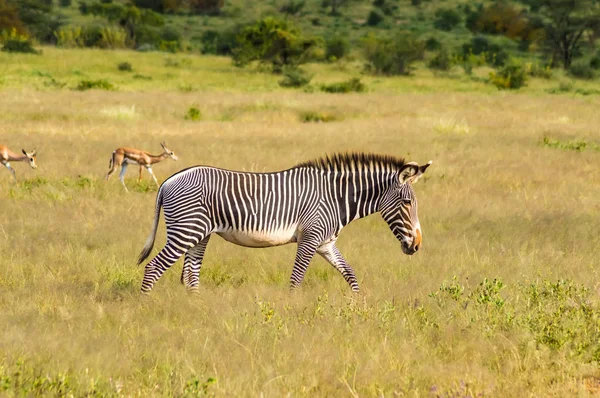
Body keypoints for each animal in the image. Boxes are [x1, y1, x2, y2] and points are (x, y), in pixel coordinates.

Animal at [137, 152, 432, 292]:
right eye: (407, 203)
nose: (417, 245)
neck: (336, 198)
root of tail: (169, 181)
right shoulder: (310, 238)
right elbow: (296, 279)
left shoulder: (325, 243)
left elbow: (350, 274)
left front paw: (359, 308)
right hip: (185, 231)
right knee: (154, 267)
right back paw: (145, 305)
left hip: (200, 233)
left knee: (191, 275)